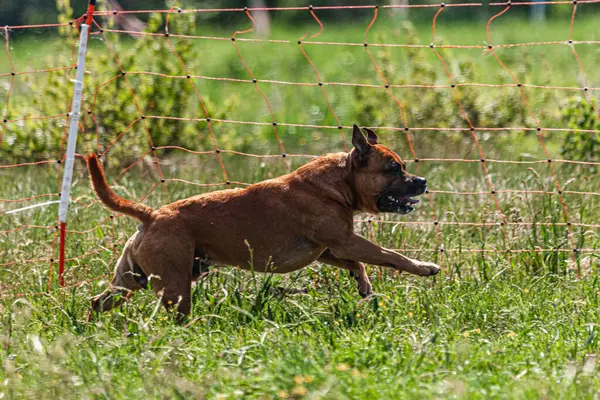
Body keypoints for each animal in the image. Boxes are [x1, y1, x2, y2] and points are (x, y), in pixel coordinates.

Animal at [86, 124, 438, 318]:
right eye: (393, 169)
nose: (421, 181)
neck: (339, 182)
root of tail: (152, 215)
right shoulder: (345, 241)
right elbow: (389, 255)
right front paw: (424, 267)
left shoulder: (329, 249)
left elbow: (358, 263)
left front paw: (362, 283)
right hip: (175, 286)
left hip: (130, 280)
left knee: (97, 301)